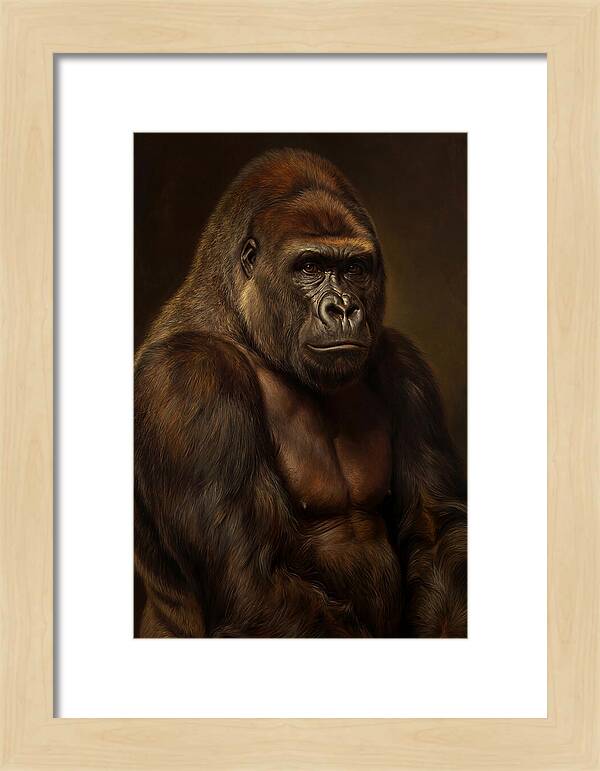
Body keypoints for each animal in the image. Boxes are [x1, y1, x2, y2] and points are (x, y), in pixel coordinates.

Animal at [134, 148, 467, 637]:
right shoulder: (189, 378)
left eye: (353, 269)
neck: (244, 325)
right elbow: (251, 580)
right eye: (309, 267)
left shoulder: (404, 366)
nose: (343, 308)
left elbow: (435, 531)